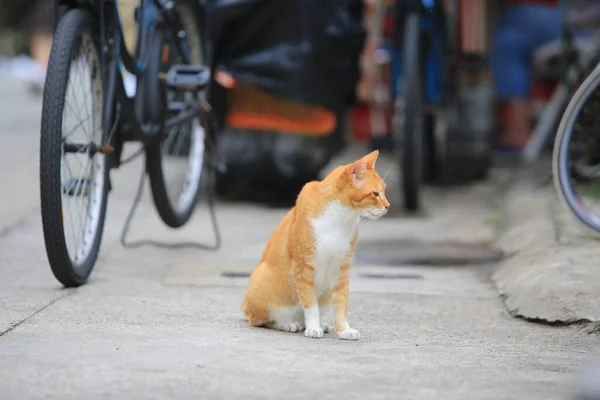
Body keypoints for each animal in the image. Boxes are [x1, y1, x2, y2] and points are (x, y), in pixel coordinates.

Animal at [241, 151, 392, 340]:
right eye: (375, 194)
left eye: (384, 192)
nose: (388, 206)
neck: (340, 218)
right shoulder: (303, 267)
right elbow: (311, 304)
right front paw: (313, 328)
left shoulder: (341, 268)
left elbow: (341, 303)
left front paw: (343, 330)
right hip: (263, 283)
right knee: (262, 320)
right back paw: (289, 324)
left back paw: (321, 324)